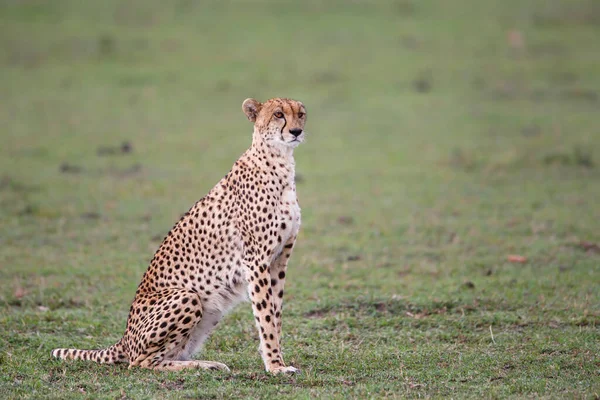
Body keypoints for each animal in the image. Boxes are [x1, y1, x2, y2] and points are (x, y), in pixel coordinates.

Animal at [52, 98, 308, 374]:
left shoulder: (279, 260)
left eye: (301, 114)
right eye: (279, 114)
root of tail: (124, 339)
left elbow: (275, 314)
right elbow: (266, 316)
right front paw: (275, 366)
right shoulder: (256, 260)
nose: (296, 131)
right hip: (188, 295)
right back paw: (202, 365)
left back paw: (206, 363)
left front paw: (274, 358)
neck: (279, 160)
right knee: (140, 363)